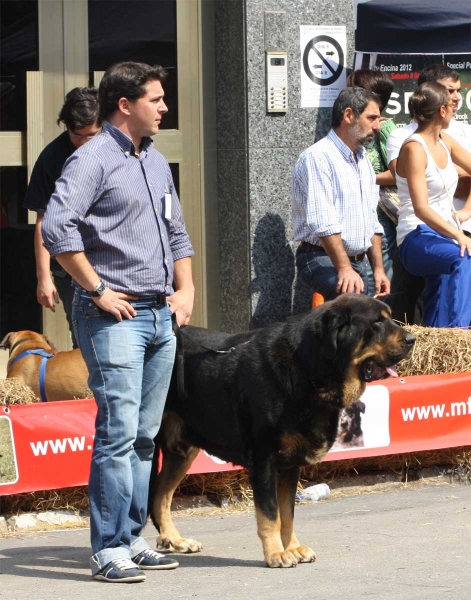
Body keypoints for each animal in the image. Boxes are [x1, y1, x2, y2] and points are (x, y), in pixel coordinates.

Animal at [149, 294, 414, 568]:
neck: (308, 369)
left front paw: (293, 547)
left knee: (160, 496)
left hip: (182, 451)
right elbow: (270, 513)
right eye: (377, 323)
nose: (412, 339)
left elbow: (287, 514)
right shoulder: (263, 459)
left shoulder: (290, 463)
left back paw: (175, 540)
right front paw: (276, 553)